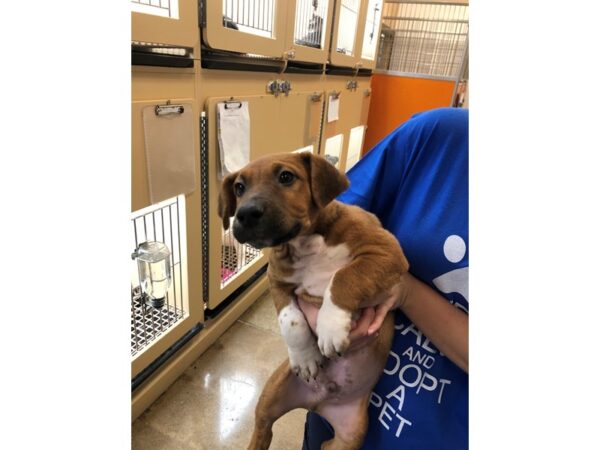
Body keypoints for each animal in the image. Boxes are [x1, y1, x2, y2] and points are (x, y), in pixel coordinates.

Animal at [218, 152, 410, 450]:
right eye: (239, 187)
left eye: (286, 177)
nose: (246, 213)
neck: (303, 242)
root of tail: (319, 402)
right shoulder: (277, 280)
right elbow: (291, 321)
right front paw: (306, 357)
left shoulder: (385, 252)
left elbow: (344, 276)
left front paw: (330, 327)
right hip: (271, 394)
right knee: (263, 429)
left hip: (350, 436)